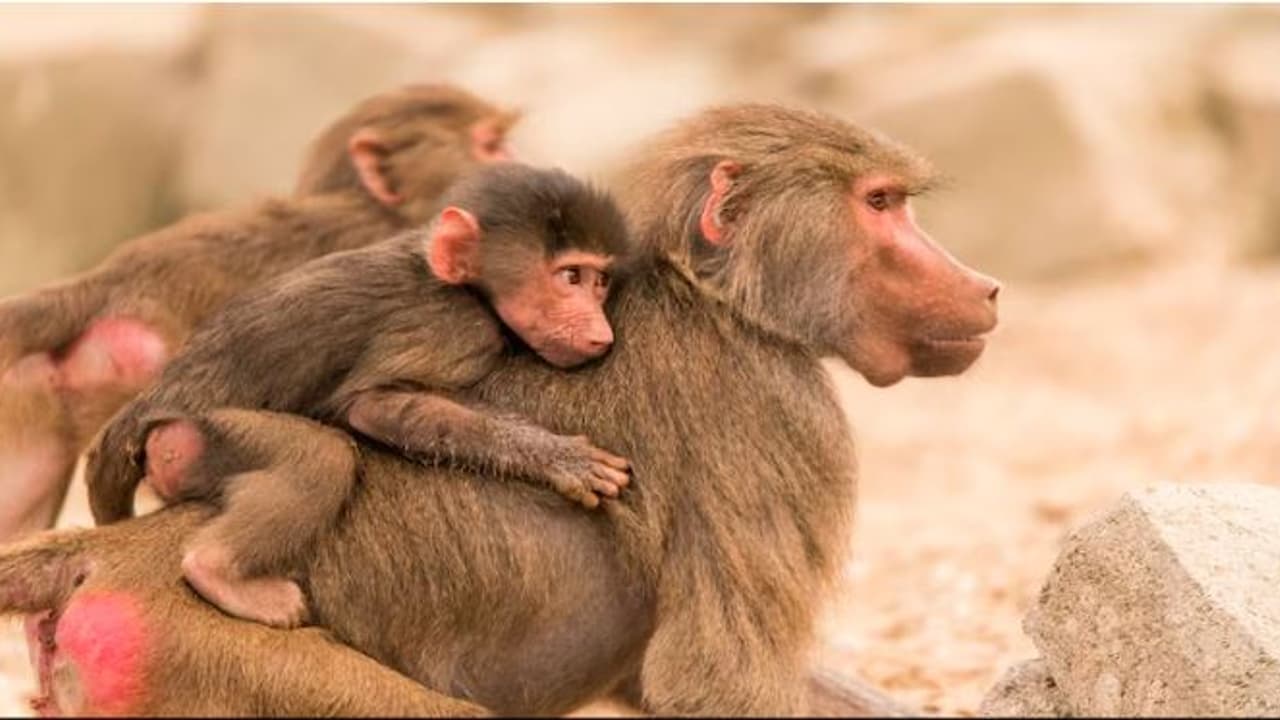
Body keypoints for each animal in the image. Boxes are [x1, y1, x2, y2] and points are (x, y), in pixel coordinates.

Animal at [83, 163, 634, 629]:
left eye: (600, 281)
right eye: (570, 277)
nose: (601, 332)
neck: (466, 287)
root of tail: (140, 415)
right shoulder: (453, 326)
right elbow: (375, 405)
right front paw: (557, 457)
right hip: (192, 439)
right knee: (321, 457)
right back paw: (216, 570)